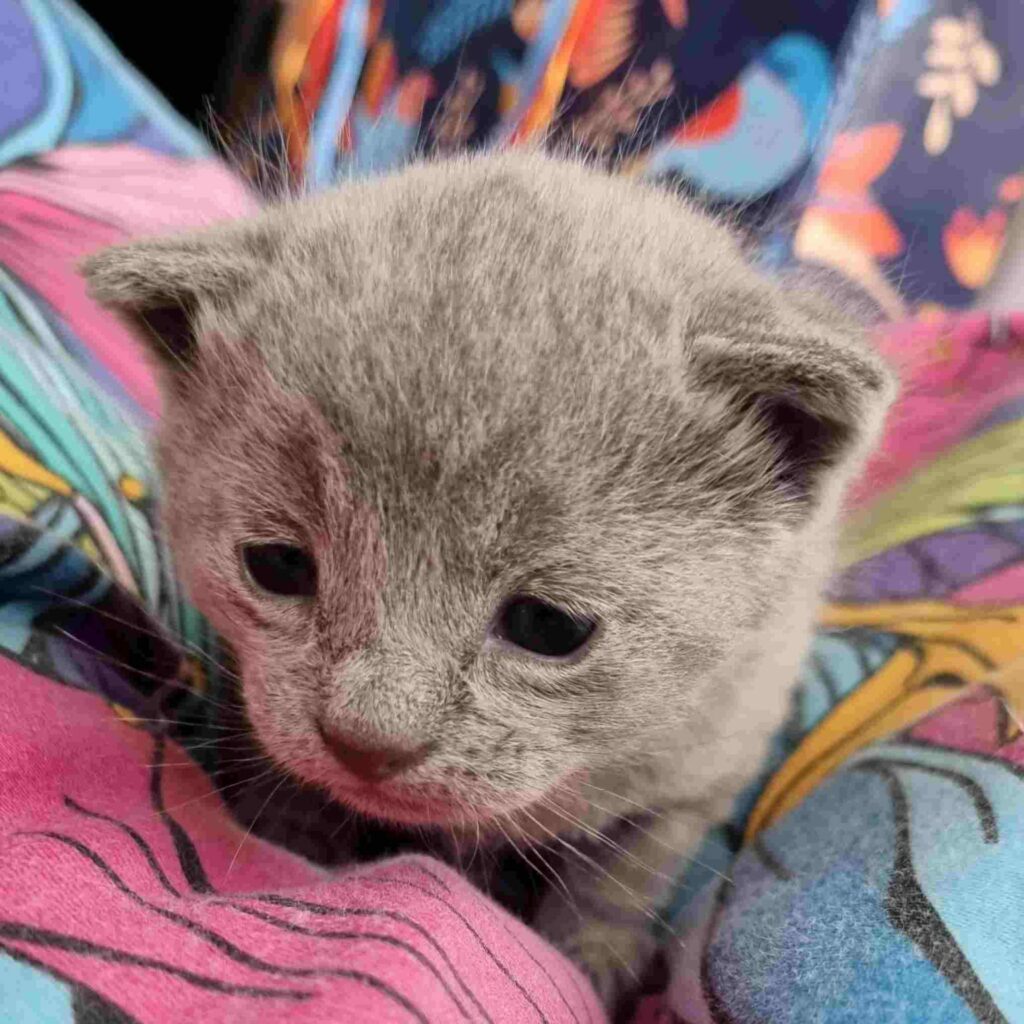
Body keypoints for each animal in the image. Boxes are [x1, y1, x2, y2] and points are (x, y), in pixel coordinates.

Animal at [81, 151, 897, 1007]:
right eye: (277, 566)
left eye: (549, 626)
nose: (367, 742)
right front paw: (291, 837)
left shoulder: (714, 754)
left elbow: (626, 870)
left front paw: (590, 958)